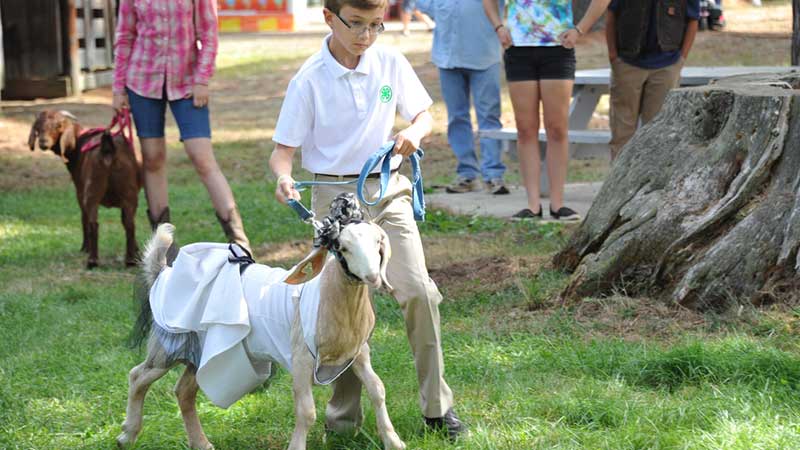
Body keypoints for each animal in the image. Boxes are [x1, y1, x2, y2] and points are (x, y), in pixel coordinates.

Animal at [28, 110, 142, 268]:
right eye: (38, 127)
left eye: (58, 126)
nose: (43, 142)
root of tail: (108, 149)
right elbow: (127, 221)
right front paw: (137, 251)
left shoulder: (80, 190)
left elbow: (84, 217)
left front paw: (84, 248)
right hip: (128, 191)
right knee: (130, 223)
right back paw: (130, 260)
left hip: (92, 189)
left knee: (93, 222)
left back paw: (92, 260)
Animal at [117, 194, 406, 450]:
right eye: (341, 248)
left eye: (378, 243)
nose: (372, 277)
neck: (331, 298)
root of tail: (163, 274)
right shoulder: (301, 357)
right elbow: (307, 411)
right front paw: (296, 447)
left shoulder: (358, 352)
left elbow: (377, 389)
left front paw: (394, 441)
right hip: (168, 346)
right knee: (138, 376)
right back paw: (127, 435)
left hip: (201, 353)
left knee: (183, 391)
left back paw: (201, 443)